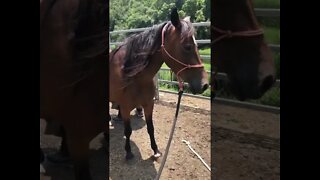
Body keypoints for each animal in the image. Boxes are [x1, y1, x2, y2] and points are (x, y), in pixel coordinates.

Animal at [110, 7, 210, 159]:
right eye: (187, 46)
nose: (204, 84)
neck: (134, 76)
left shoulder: (148, 104)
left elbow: (151, 128)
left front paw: (155, 150)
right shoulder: (126, 107)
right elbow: (128, 131)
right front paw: (128, 152)